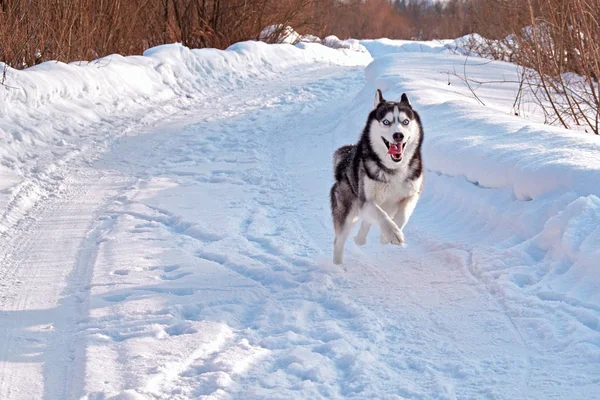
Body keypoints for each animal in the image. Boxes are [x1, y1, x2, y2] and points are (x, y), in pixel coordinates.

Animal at [330, 90, 424, 266]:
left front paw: (388, 235)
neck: (393, 169)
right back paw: (338, 266)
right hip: (348, 211)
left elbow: (403, 215)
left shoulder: (412, 194)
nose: (398, 135)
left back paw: (361, 238)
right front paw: (392, 233)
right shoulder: (366, 202)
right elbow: (381, 215)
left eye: (405, 121)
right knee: (339, 240)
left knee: (366, 223)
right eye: (386, 121)